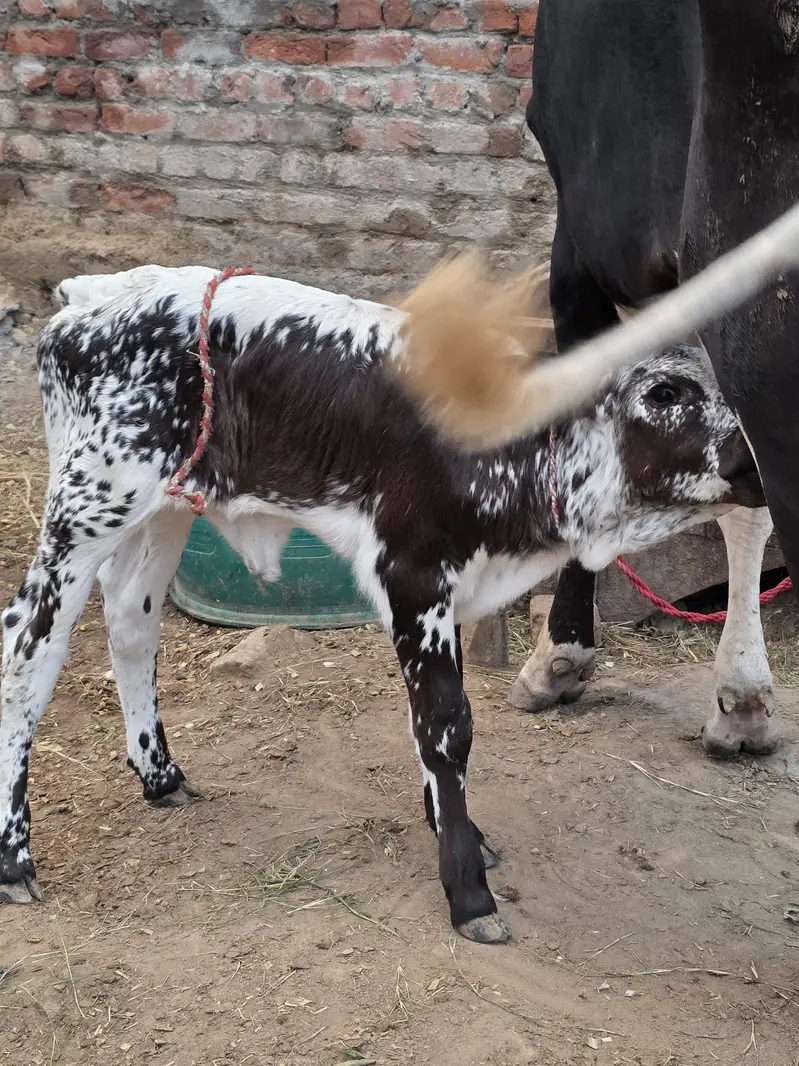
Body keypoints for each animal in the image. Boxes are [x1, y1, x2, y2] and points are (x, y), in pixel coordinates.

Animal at [0, 262, 763, 940]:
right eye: (663, 391)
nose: (754, 462)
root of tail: (93, 295)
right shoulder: (413, 573)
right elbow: (446, 724)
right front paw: (467, 890)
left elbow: (435, 721)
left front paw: (461, 833)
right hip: (86, 508)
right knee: (27, 651)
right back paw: (15, 858)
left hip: (164, 508)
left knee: (131, 622)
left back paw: (161, 776)